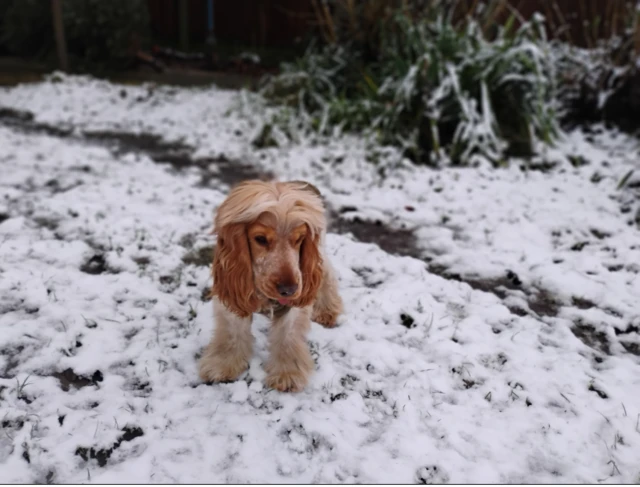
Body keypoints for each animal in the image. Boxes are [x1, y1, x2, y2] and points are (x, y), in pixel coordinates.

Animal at [199, 179, 344, 392]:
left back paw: (328, 311)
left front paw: (287, 374)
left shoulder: (295, 299)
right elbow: (233, 332)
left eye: (299, 239)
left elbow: (287, 336)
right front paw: (222, 365)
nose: (288, 290)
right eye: (260, 239)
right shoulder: (232, 293)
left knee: (328, 273)